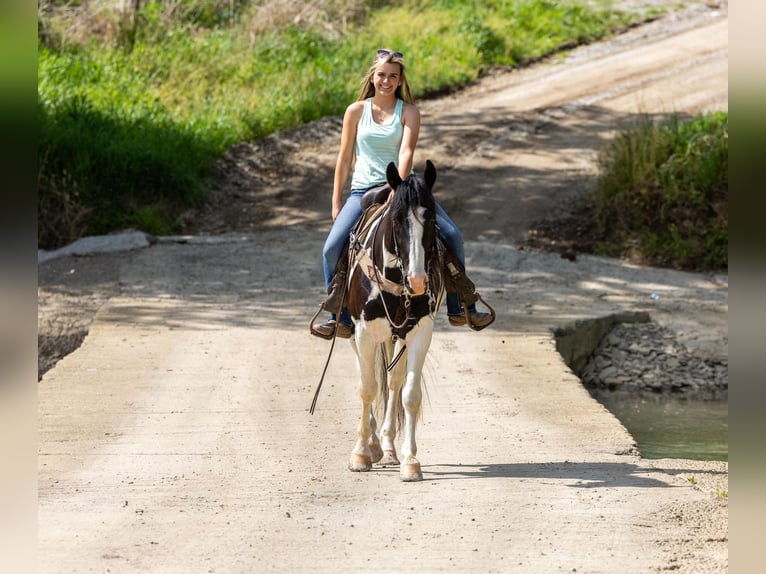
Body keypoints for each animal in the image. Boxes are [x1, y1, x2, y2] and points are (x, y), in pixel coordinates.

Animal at [346, 160, 448, 484]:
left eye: (431, 219)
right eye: (397, 220)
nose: (417, 281)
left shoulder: (420, 334)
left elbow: (410, 394)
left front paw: (411, 461)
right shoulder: (363, 333)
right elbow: (367, 388)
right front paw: (360, 454)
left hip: (398, 338)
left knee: (393, 382)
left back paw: (389, 448)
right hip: (355, 336)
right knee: (367, 377)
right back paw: (374, 445)